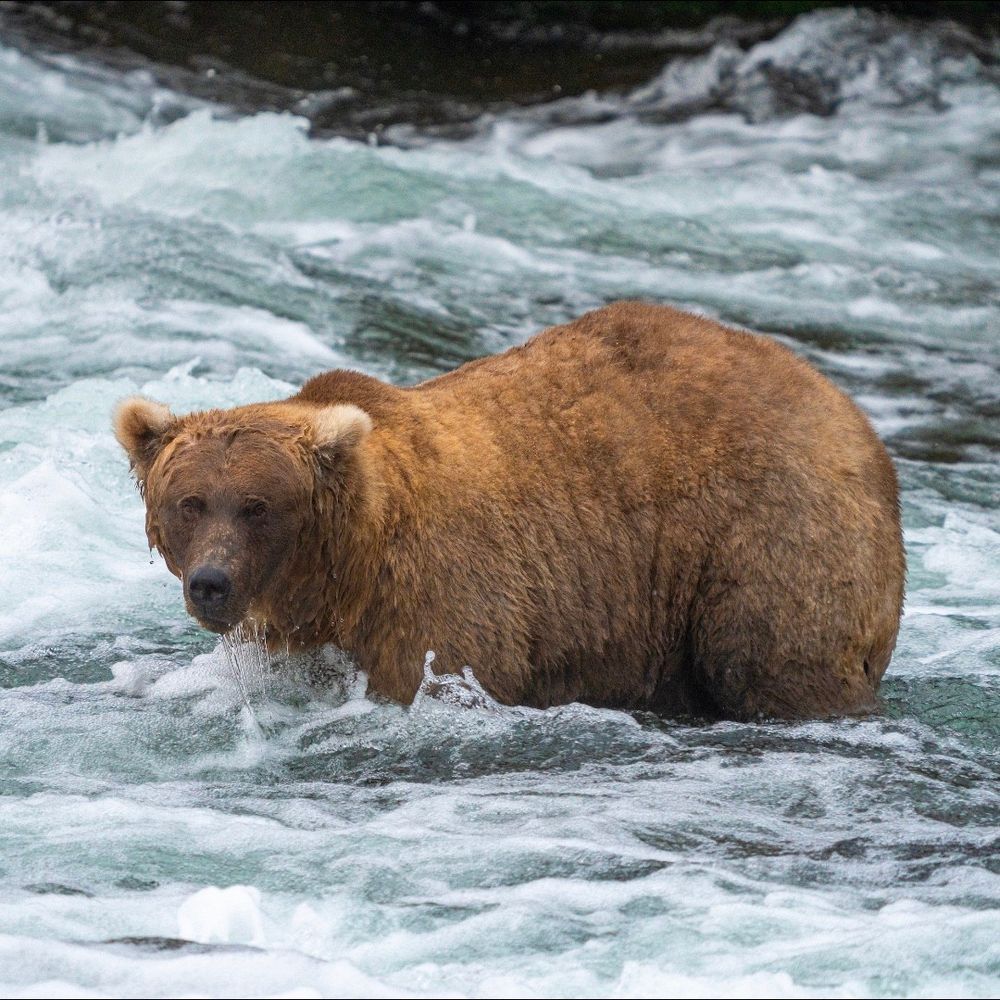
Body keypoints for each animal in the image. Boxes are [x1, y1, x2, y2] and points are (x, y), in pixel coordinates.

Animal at [114, 302, 905, 719]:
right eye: (190, 503)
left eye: (258, 506)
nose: (211, 583)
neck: (346, 570)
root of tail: (850, 412)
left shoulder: (441, 597)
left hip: (769, 533)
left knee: (771, 657)